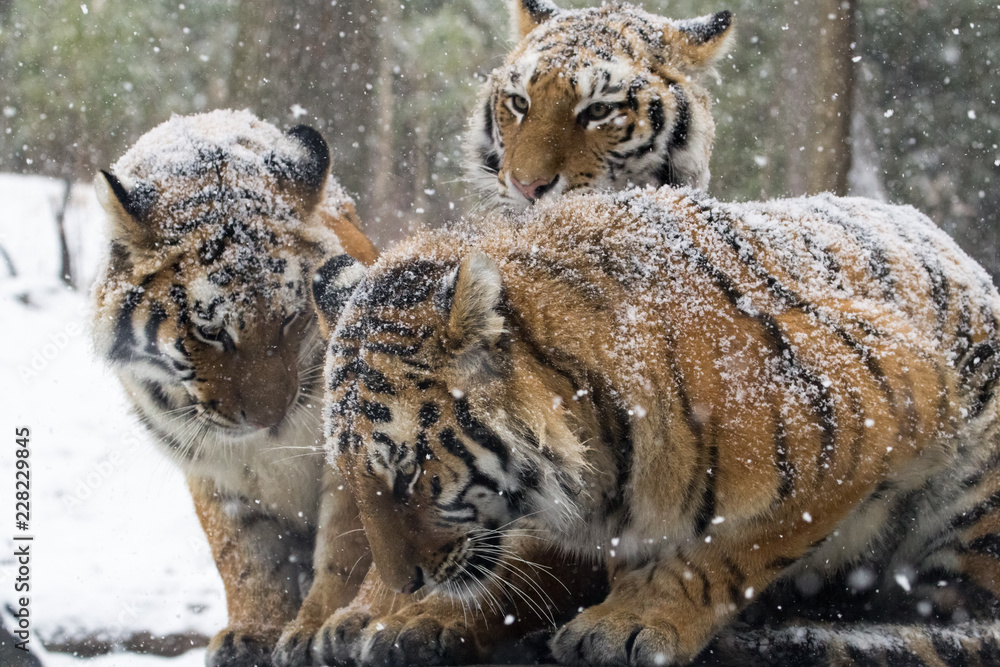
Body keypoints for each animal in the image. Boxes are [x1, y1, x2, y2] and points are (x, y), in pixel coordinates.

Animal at [91, 109, 379, 667]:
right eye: (210, 331)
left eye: (290, 317)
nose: (269, 417)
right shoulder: (212, 471)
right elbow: (244, 558)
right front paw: (254, 633)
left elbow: (347, 549)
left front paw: (316, 630)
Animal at [312, 185, 1000, 666]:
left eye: (408, 474)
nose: (405, 583)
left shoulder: (882, 393)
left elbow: (733, 545)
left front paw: (634, 620)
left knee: (956, 613)